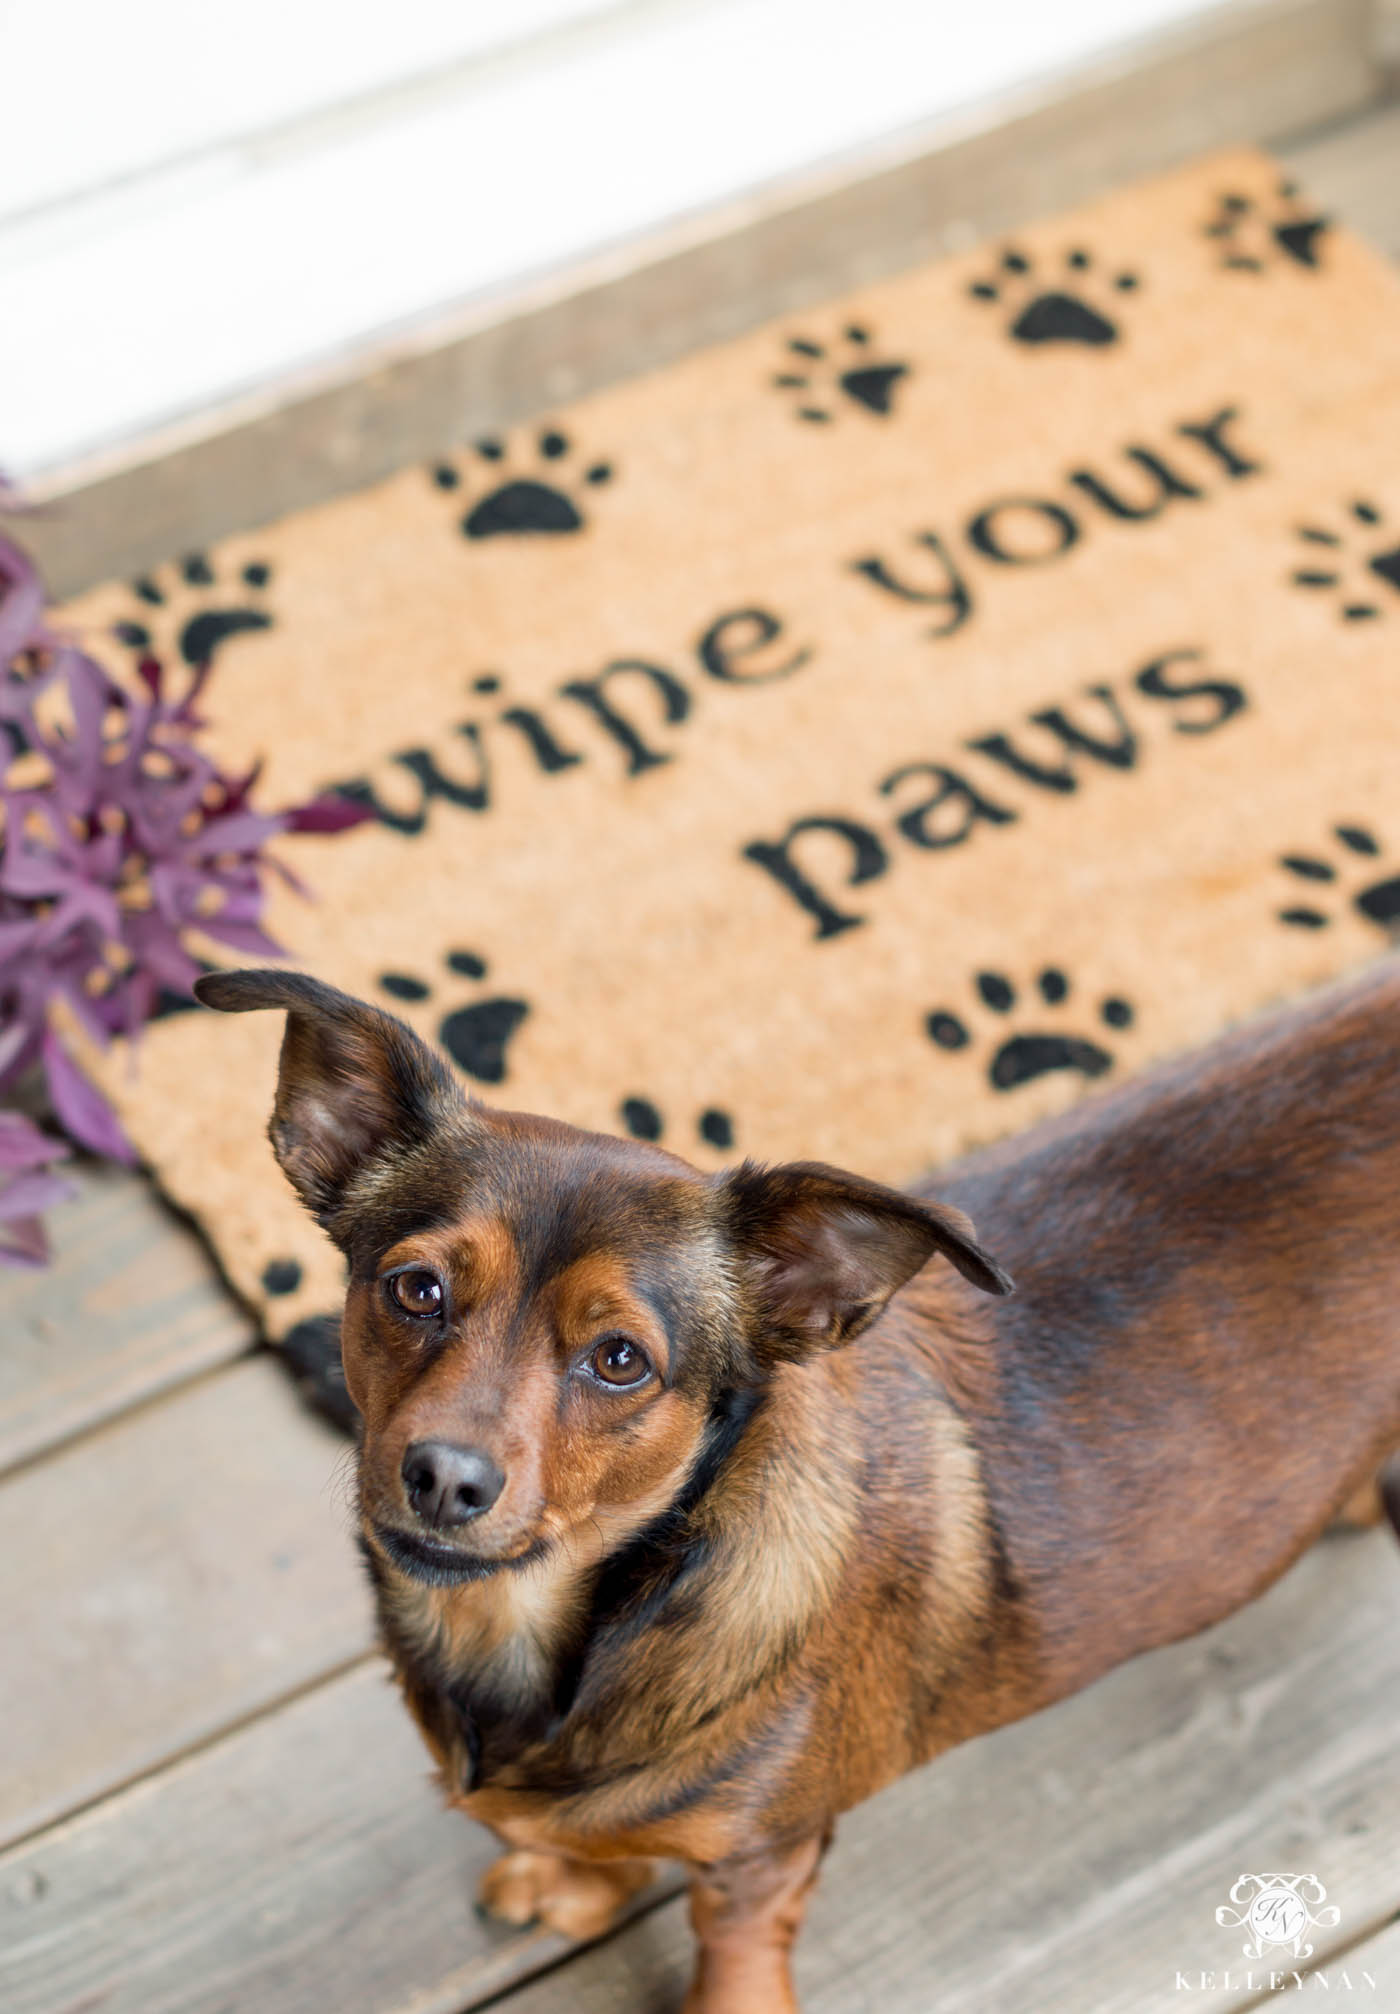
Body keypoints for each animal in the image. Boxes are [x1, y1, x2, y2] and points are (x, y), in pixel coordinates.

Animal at [194, 962, 1400, 2014]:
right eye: (415, 1288)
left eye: (619, 1359)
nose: (443, 1478)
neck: (543, 1629)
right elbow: (569, 1835)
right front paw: (574, 1882)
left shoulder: (761, 1858)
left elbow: (729, 1954)